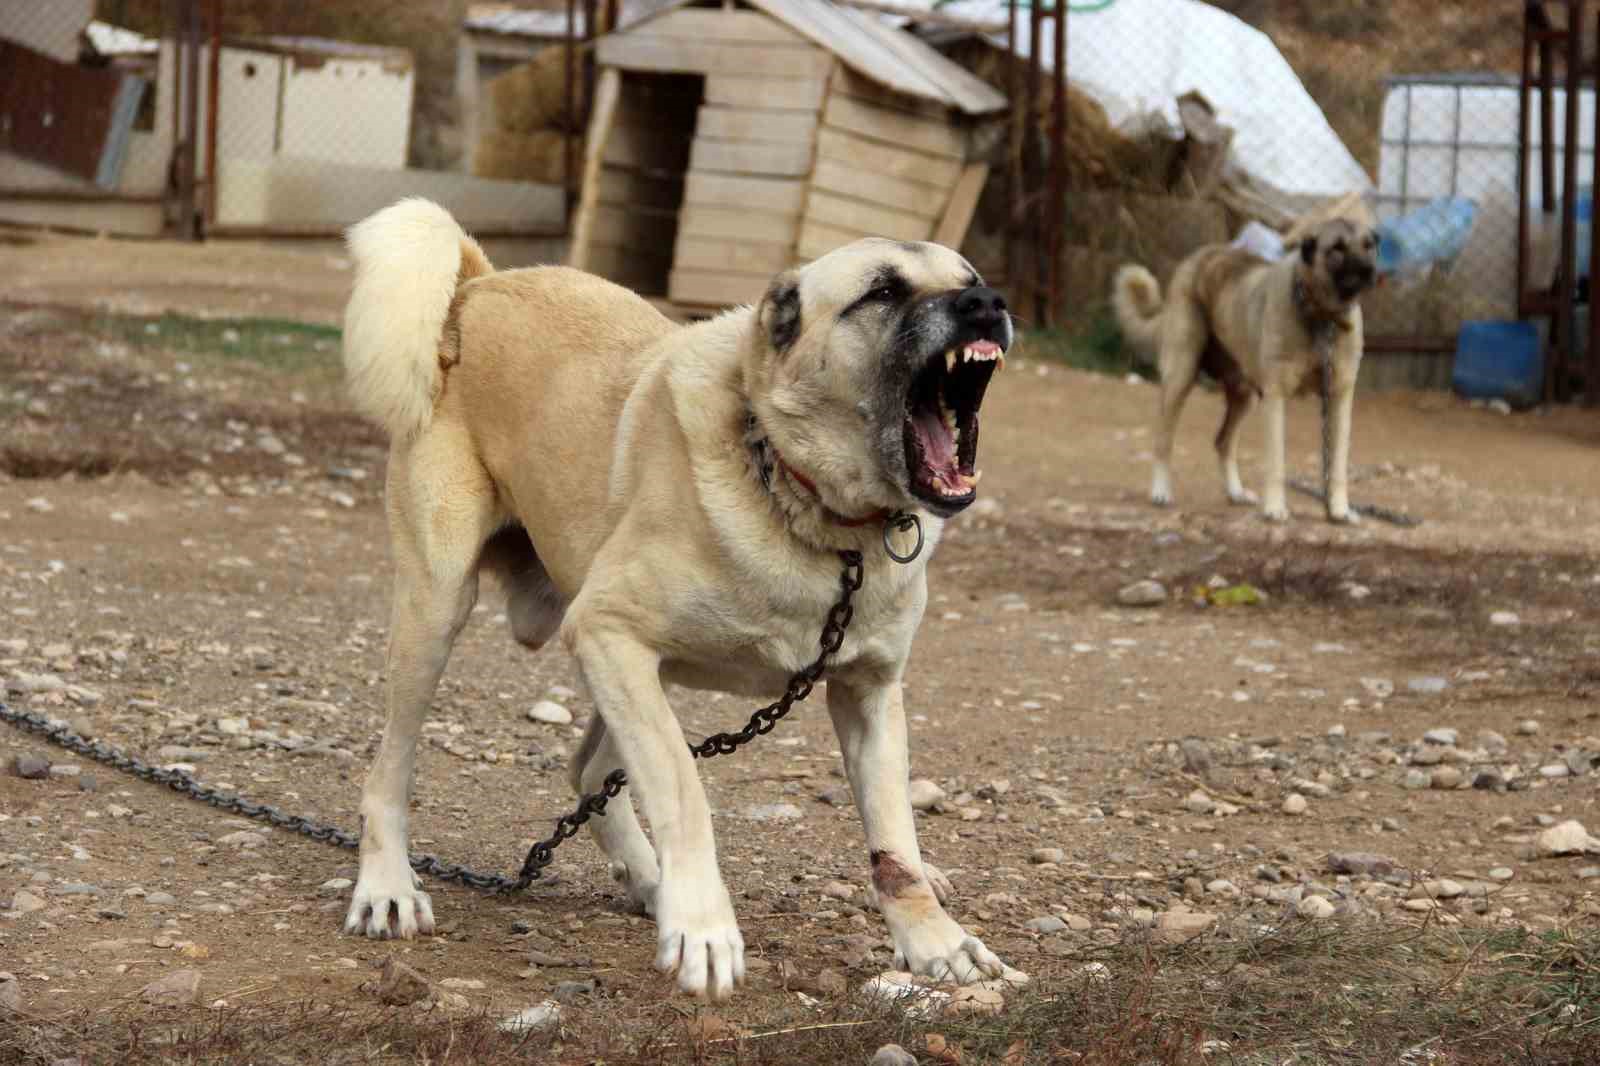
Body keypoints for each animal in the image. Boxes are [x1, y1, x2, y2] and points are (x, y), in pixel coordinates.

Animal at [337, 199, 1017, 998]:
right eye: (881, 291)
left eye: (968, 278)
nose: (988, 303)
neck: (810, 508)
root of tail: (478, 287)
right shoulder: (607, 630)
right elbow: (684, 789)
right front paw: (703, 926)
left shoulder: (868, 694)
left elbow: (896, 843)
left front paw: (935, 941)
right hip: (442, 611)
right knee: (390, 771)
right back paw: (387, 886)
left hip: (625, 662)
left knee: (589, 770)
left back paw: (651, 882)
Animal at [1113, 216, 1376, 518]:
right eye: (1337, 248)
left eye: (1369, 244)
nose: (1369, 270)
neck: (1323, 316)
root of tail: (1199, 255)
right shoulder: (1276, 396)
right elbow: (1276, 460)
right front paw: (1275, 508)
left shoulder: (1339, 398)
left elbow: (1338, 464)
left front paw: (1339, 511)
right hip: (1181, 374)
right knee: (1163, 439)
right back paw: (1160, 491)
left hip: (1245, 395)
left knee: (1223, 442)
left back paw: (1235, 492)